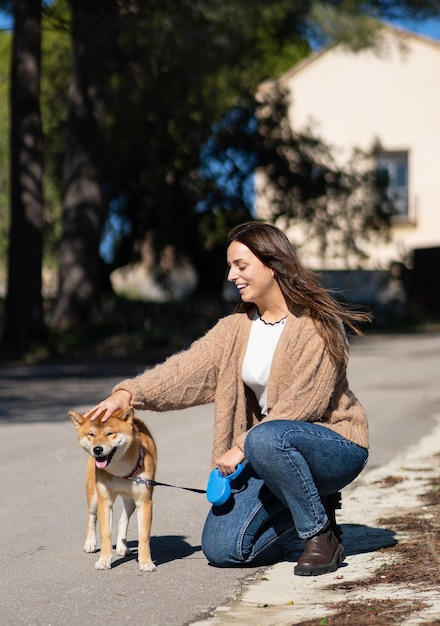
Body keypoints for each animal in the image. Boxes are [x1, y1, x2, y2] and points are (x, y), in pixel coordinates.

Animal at [68, 404, 157, 572]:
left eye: (110, 433)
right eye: (91, 434)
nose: (97, 449)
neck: (121, 472)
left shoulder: (144, 501)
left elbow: (143, 537)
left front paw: (146, 562)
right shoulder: (105, 500)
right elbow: (105, 535)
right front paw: (104, 560)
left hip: (130, 500)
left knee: (123, 519)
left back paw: (122, 547)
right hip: (94, 496)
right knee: (92, 517)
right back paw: (90, 543)